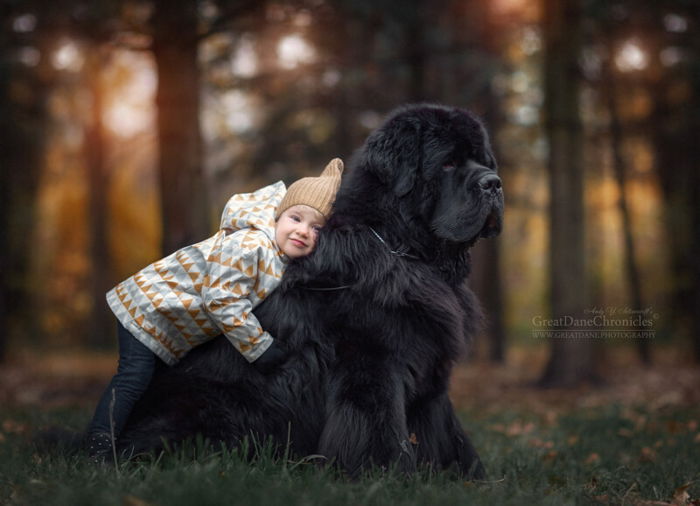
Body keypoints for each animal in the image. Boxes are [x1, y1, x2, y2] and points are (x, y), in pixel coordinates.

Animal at [119, 104, 504, 478]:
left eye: (483, 161)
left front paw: (468, 478)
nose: (494, 184)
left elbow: (446, 433)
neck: (399, 246)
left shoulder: (430, 374)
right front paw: (388, 477)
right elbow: (380, 432)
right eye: (448, 162)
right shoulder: (371, 364)